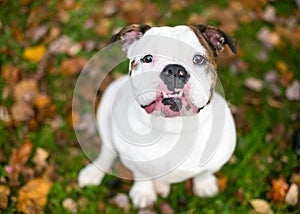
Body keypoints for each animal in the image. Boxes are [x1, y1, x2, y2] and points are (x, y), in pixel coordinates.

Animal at [78, 24, 238, 208]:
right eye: (147, 58)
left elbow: (204, 172)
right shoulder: (134, 162)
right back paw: (93, 173)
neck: (173, 128)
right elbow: (141, 174)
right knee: (107, 150)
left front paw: (204, 185)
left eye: (198, 59)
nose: (175, 70)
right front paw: (143, 192)